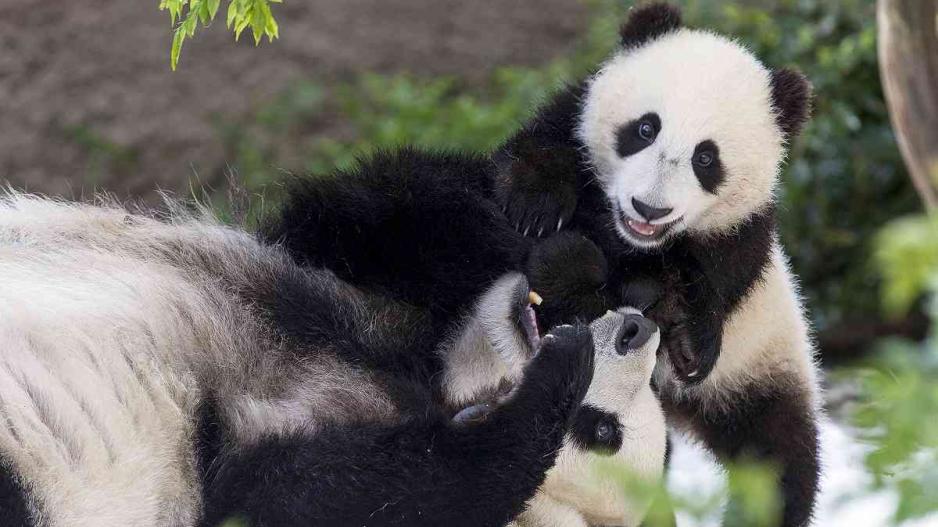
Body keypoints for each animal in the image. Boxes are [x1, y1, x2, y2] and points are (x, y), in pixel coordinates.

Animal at [0, 193, 665, 527]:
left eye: (597, 431)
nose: (637, 330)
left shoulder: (240, 480)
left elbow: (400, 492)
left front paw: (559, 374)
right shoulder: (358, 292)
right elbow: (374, 219)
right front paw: (570, 250)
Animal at [494, 4, 822, 526]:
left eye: (706, 159)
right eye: (645, 129)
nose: (648, 209)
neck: (629, 239)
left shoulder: (742, 238)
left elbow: (711, 281)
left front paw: (685, 334)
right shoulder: (569, 122)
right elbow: (542, 149)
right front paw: (537, 207)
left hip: (763, 365)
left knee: (779, 457)